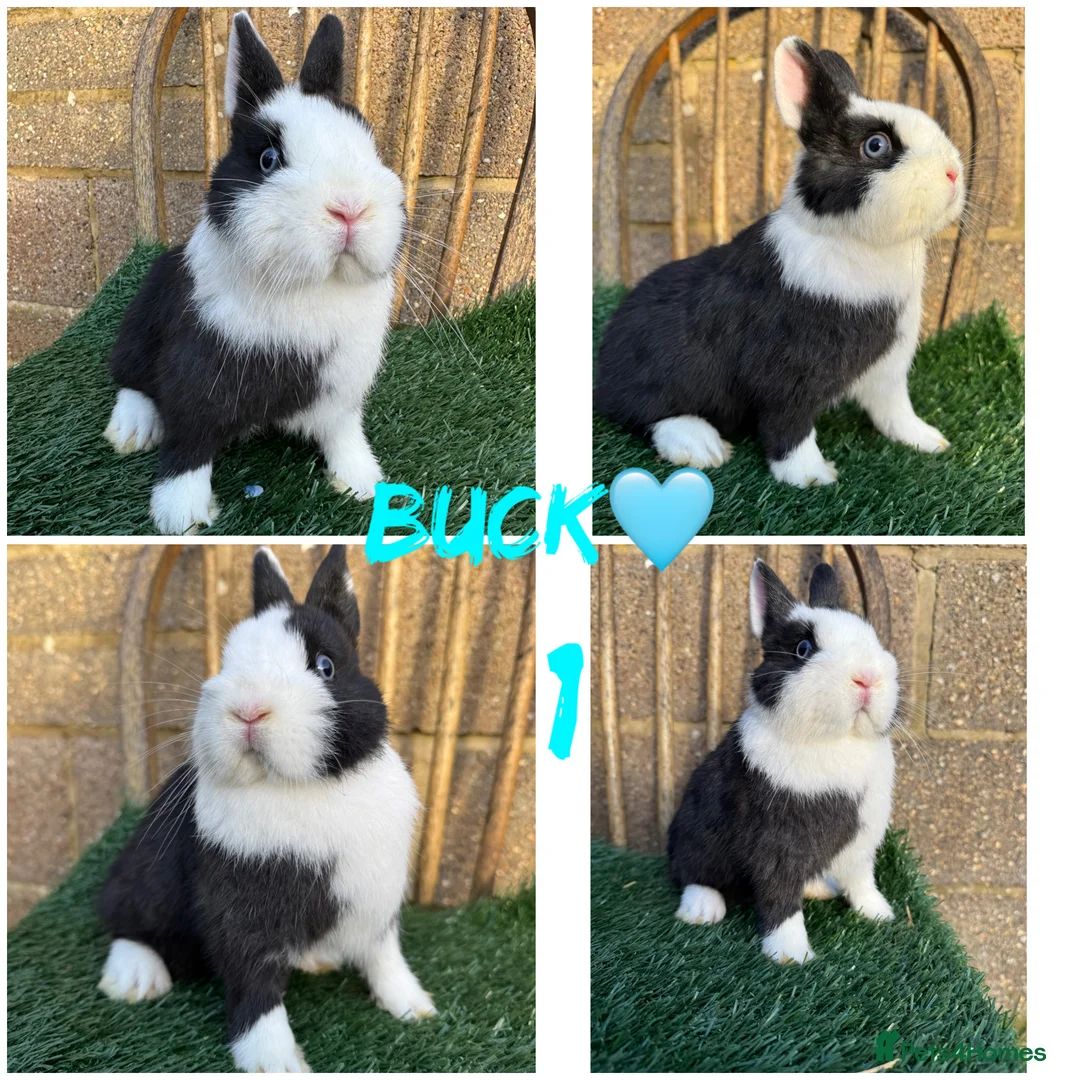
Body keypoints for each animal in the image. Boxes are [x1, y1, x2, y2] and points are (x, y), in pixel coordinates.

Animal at [97, 545, 434, 1073]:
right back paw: (134, 979)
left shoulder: (376, 899)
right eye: (226, 660)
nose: (248, 710)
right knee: (127, 920)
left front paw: (413, 1006)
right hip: (146, 879)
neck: (305, 785)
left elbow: (385, 956)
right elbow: (253, 985)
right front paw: (274, 1060)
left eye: (325, 666)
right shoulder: (238, 912)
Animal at [103, 11, 406, 534]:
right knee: (130, 376)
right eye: (268, 160)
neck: (310, 286)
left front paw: (362, 484)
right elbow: (187, 445)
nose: (350, 207)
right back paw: (133, 429)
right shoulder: (197, 377)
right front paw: (181, 516)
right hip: (142, 318)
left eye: (372, 151)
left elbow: (344, 433)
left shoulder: (344, 386)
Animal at [595, 35, 966, 488]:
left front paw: (927, 440)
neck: (855, 241)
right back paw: (701, 445)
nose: (953, 173)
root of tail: (602, 370)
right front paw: (812, 477)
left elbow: (894, 409)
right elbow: (789, 426)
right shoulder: (785, 375)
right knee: (643, 415)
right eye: (876, 145)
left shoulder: (889, 366)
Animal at [667, 558, 898, 964]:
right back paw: (702, 910)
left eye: (873, 639)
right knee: (693, 871)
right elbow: (779, 896)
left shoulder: (863, 841)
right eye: (804, 648)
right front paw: (791, 954)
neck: (836, 741)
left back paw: (820, 887)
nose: (867, 678)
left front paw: (880, 913)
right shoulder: (777, 845)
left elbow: (862, 880)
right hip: (697, 832)